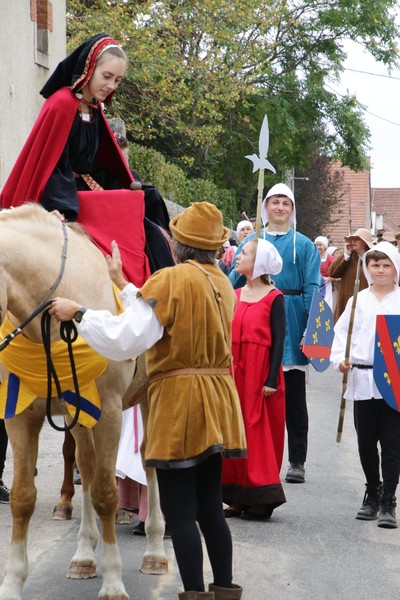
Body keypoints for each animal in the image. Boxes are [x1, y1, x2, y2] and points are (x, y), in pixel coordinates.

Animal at [0, 205, 166, 600]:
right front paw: (12, 582)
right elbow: (23, 498)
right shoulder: (21, 417)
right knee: (87, 467)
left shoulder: (109, 412)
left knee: (148, 463)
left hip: (148, 397)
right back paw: (83, 555)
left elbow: (107, 493)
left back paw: (154, 549)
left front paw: (113, 580)